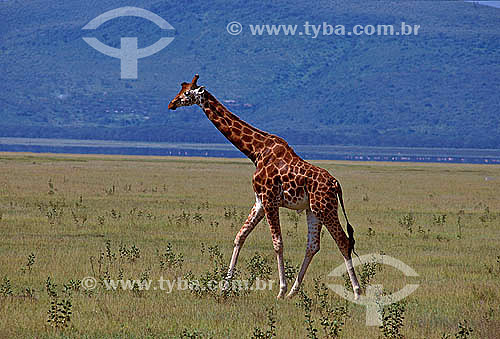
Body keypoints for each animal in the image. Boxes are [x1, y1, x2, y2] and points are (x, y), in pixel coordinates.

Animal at [168, 75, 360, 300]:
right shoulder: (259, 200)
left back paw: (356, 292)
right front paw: (225, 287)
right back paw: (294, 292)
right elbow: (240, 236)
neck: (256, 150)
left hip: (325, 208)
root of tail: (335, 184)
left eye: (186, 93)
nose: (171, 104)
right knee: (313, 246)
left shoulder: (269, 199)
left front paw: (280, 290)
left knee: (343, 241)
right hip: (313, 209)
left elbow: (278, 243)